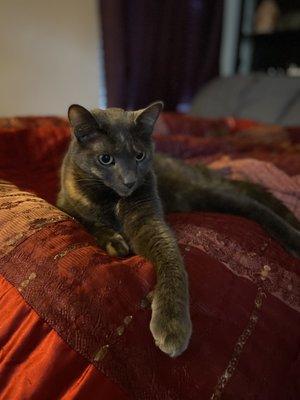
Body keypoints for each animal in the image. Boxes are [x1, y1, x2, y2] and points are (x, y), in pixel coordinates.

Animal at [56, 101, 300, 358]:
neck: (112, 200)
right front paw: (114, 241)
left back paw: (294, 237)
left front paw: (172, 326)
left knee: (255, 205)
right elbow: (86, 220)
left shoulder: (150, 223)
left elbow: (171, 261)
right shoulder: (65, 201)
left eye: (139, 155)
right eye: (105, 159)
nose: (130, 181)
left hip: (202, 193)